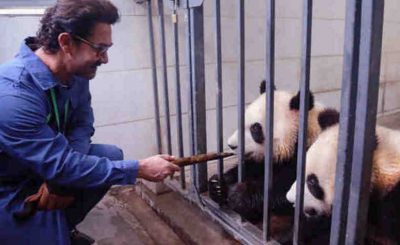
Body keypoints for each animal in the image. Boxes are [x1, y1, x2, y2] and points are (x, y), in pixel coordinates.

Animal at [208, 81, 340, 241]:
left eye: (255, 128)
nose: (231, 145)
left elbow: (286, 191)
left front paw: (239, 196)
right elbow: (253, 167)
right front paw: (218, 185)